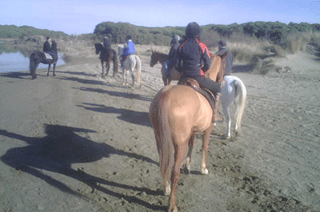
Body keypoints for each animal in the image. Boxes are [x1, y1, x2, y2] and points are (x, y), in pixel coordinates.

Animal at [150, 52, 228, 211]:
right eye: (224, 65)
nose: (223, 79)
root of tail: (166, 96)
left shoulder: (192, 131)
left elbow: (192, 145)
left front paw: (188, 165)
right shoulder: (207, 130)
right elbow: (204, 147)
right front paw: (203, 169)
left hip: (160, 139)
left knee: (164, 163)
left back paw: (166, 189)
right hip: (180, 144)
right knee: (174, 171)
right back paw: (172, 204)